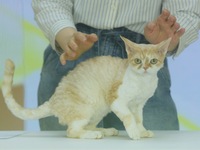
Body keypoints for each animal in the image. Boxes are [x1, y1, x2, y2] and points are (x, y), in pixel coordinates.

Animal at [1, 36, 170, 139]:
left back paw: (105, 131)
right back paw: (93, 135)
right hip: (86, 109)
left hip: (99, 110)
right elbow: (129, 117)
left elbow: (139, 119)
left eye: (153, 61)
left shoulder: (138, 105)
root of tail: (54, 100)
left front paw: (142, 131)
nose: (145, 68)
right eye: (137, 61)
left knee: (88, 126)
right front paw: (134, 132)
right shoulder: (117, 101)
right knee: (72, 131)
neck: (143, 81)